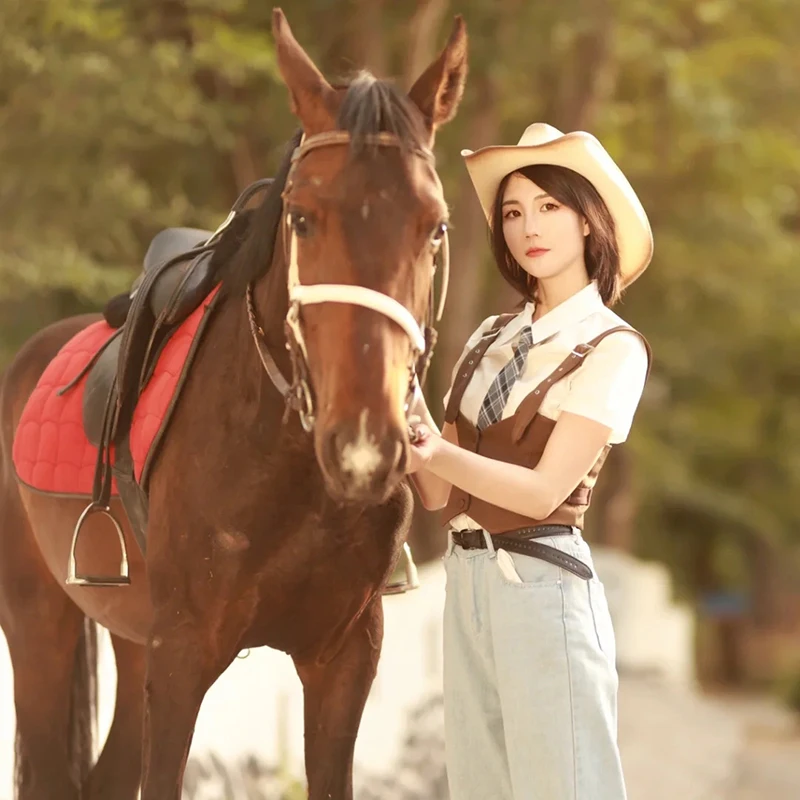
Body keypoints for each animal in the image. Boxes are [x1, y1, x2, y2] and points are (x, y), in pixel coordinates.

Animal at [0, 9, 468, 796]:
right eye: (302, 218)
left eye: (434, 226)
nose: (363, 446)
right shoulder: (183, 657)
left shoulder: (344, 660)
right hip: (39, 620)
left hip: (130, 636)